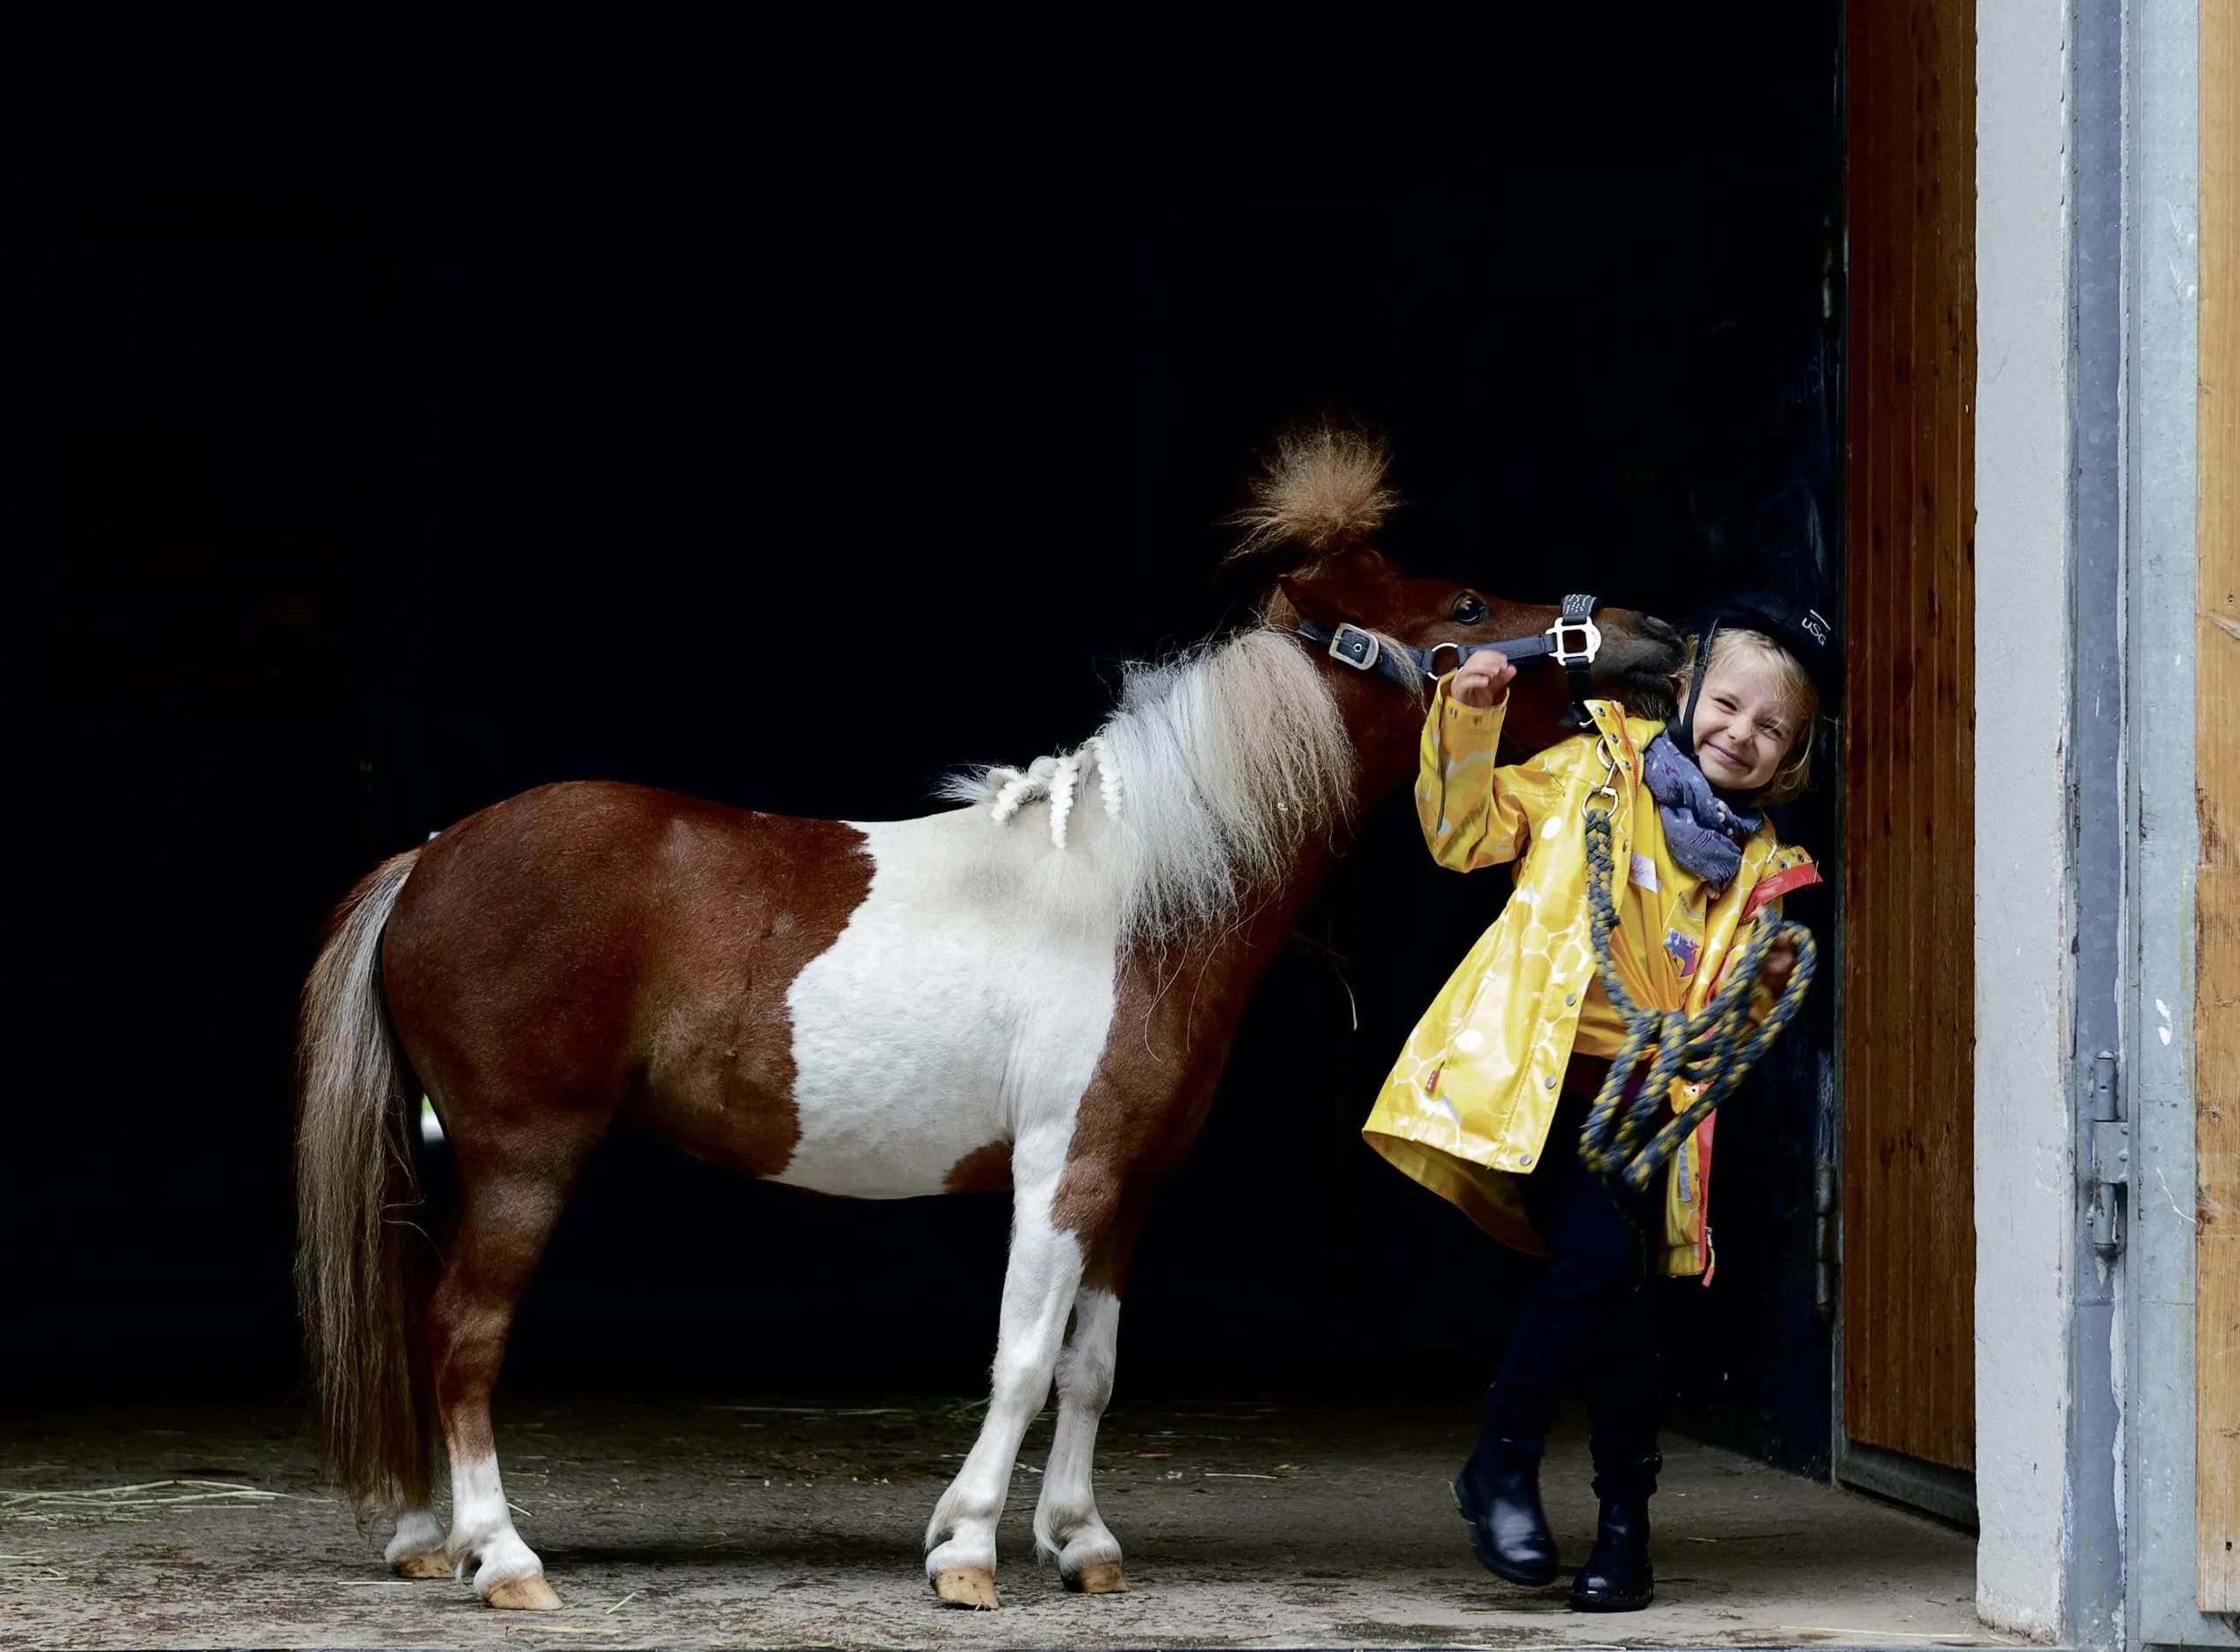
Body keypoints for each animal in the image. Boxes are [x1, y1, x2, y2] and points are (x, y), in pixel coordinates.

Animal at [294, 429, 1685, 1613]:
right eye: (1466, 609)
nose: (1655, 630)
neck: (1139, 894)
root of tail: (430, 857)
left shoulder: (1128, 1182)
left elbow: (1089, 1367)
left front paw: (1080, 1543)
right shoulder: (1060, 1169)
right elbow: (1019, 1356)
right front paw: (964, 1548)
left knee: (418, 1330)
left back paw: (428, 1542)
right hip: (526, 1153)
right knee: (465, 1339)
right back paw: (504, 1559)